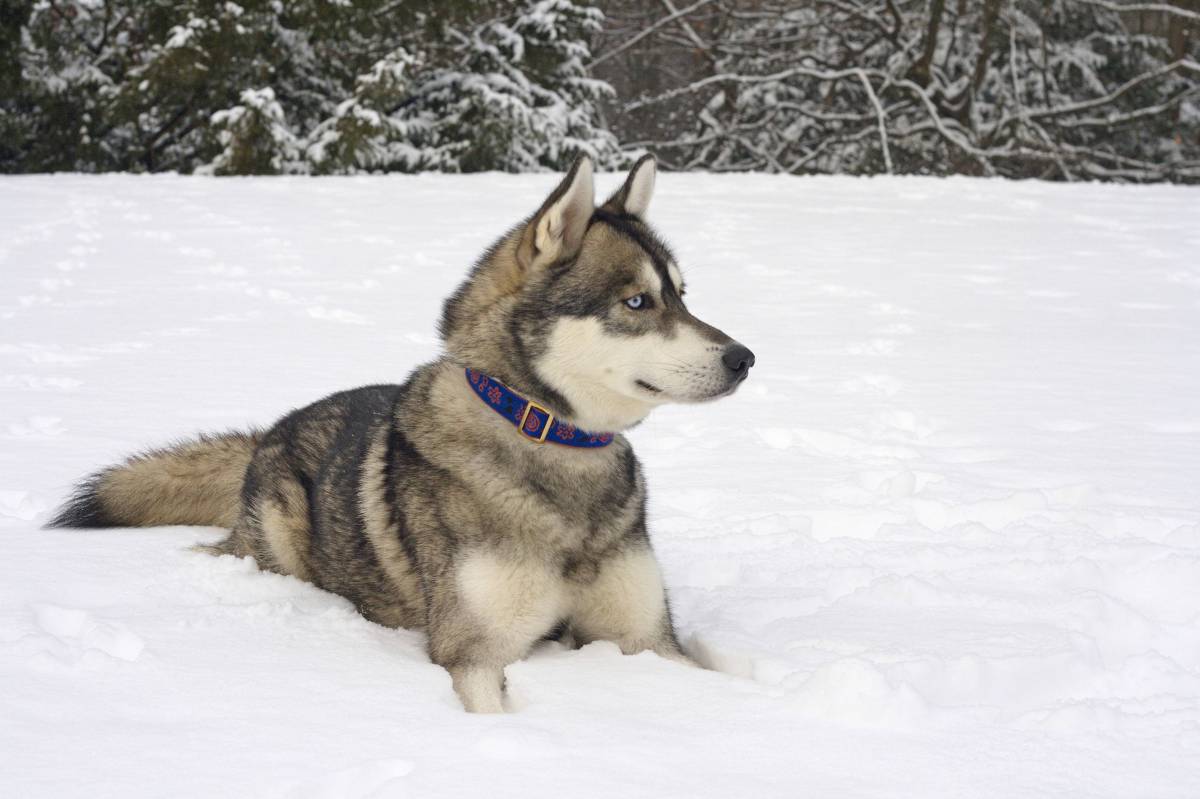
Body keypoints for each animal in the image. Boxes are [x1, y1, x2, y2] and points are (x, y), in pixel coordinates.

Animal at [54, 153, 758, 710]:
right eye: (637, 302)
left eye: (684, 295)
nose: (745, 358)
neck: (551, 443)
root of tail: (271, 430)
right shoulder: (474, 652)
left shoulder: (647, 639)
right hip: (278, 537)